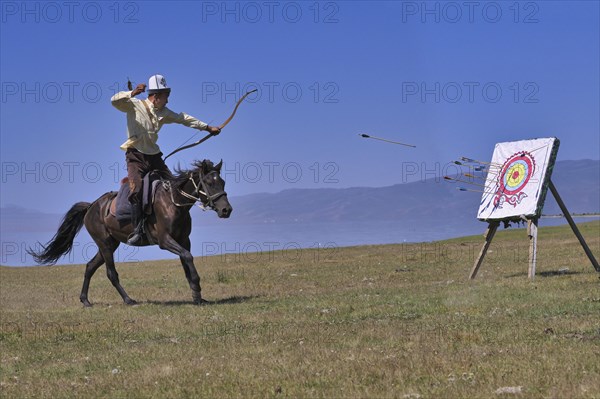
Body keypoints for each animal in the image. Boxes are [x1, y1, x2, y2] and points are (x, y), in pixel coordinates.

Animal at [29, 159, 233, 306]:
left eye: (223, 182)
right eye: (209, 183)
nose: (226, 210)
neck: (174, 203)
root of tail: (91, 206)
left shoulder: (184, 240)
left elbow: (186, 263)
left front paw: (197, 296)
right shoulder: (165, 241)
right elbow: (188, 257)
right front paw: (197, 289)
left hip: (109, 245)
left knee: (90, 267)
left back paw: (85, 300)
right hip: (105, 245)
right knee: (111, 273)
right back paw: (128, 300)